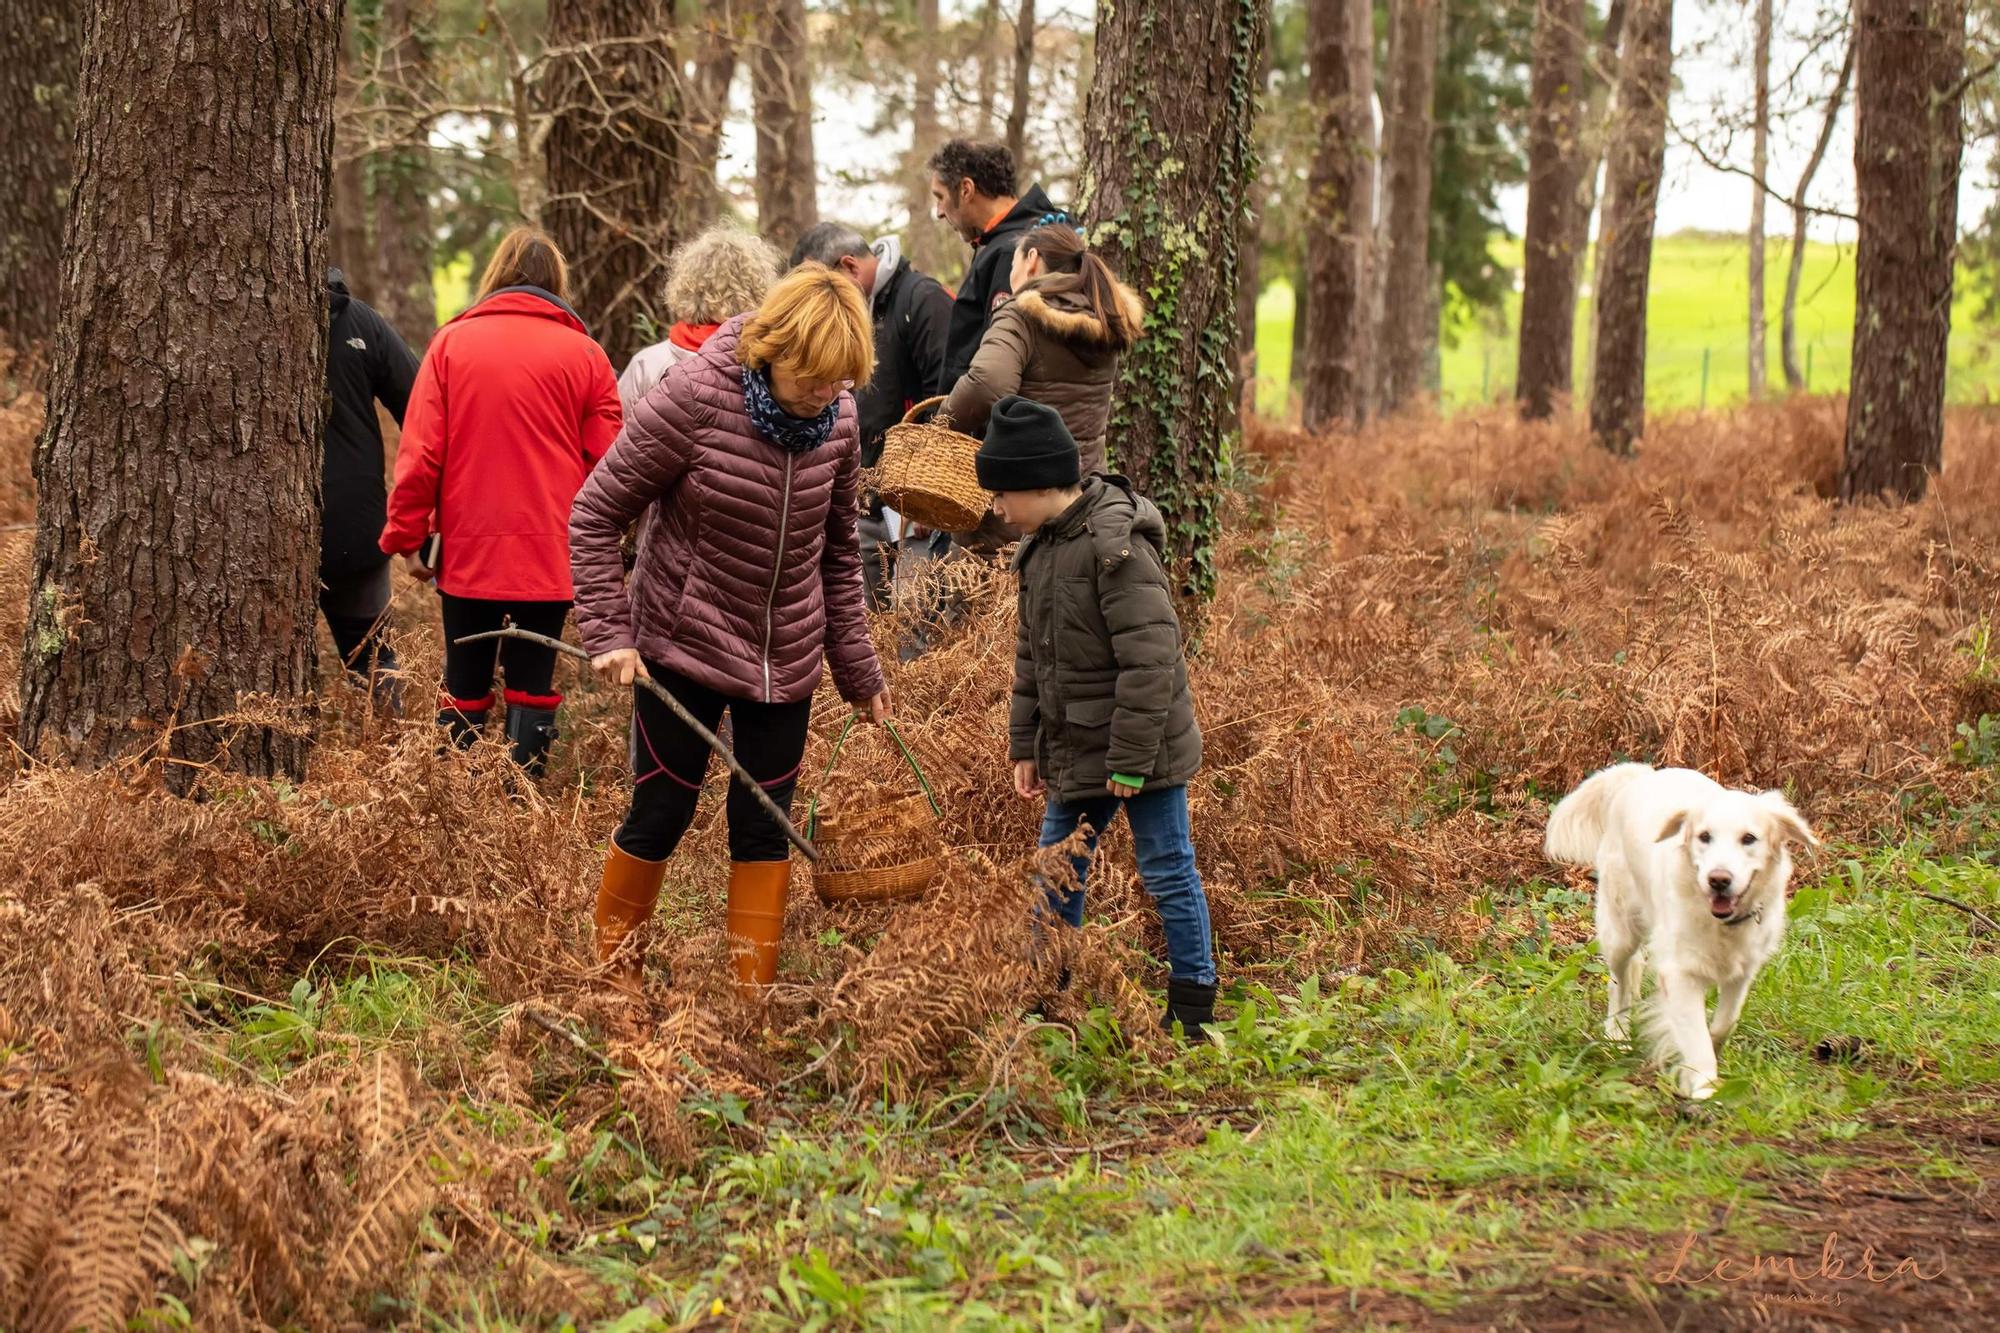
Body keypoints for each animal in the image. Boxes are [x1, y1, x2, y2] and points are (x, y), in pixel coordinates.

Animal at [1544, 764, 1816, 1096]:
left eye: (1749, 838)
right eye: (1704, 836)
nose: (1718, 879)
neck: (1719, 923)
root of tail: (1638, 773)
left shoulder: (1743, 971)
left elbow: (1724, 1024)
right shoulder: (1679, 973)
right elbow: (1697, 1039)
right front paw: (1703, 1088)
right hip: (1620, 930)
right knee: (1619, 983)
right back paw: (1616, 1036)